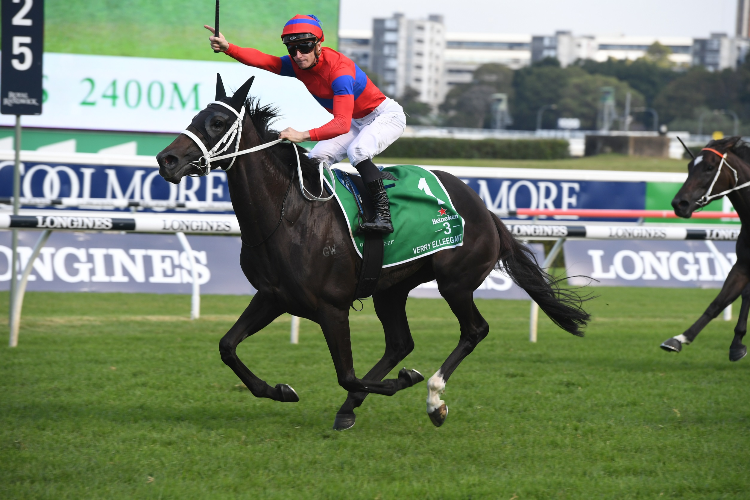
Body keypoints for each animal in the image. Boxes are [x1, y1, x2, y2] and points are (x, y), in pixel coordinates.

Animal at [156, 76, 592, 432]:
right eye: (196, 116)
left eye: (218, 122)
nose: (166, 160)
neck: (288, 215)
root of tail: (484, 209)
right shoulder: (273, 296)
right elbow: (227, 346)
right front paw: (280, 389)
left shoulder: (332, 308)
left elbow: (347, 374)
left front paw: (405, 381)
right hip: (390, 288)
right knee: (400, 342)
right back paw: (353, 407)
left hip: (455, 282)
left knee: (474, 330)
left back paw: (433, 398)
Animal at [664, 137, 750, 364]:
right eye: (689, 167)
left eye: (710, 168)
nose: (679, 203)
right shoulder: (742, 266)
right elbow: (718, 302)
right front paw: (680, 338)